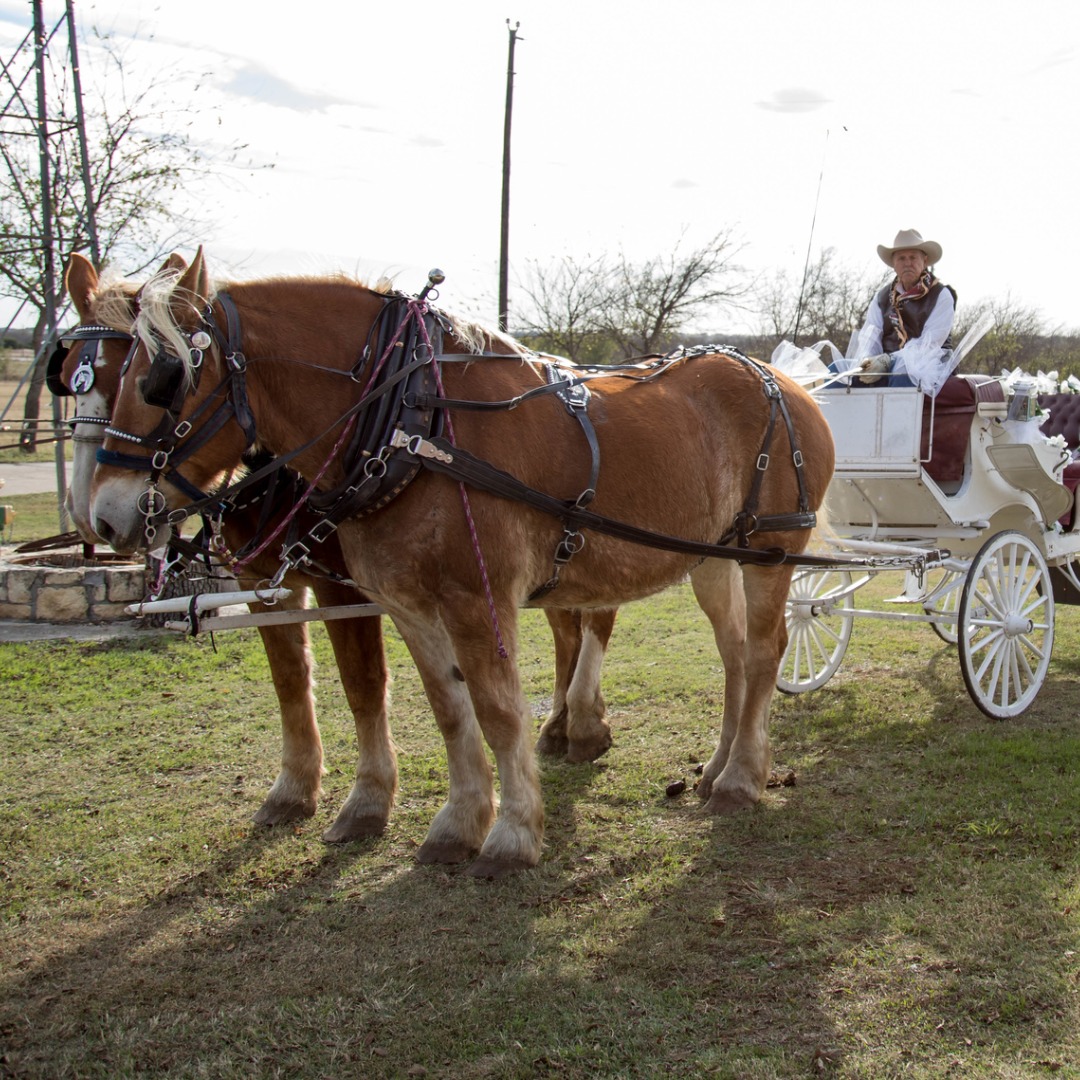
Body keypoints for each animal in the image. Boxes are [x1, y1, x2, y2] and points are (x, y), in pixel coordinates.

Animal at [89, 249, 835, 877]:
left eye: (161, 380)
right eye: (105, 378)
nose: (105, 516)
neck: (411, 423)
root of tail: (786, 381)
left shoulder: (478, 598)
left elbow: (498, 711)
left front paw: (512, 834)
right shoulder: (409, 605)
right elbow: (449, 709)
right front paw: (457, 825)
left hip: (771, 554)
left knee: (764, 653)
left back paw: (740, 779)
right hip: (713, 558)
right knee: (735, 654)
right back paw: (718, 767)